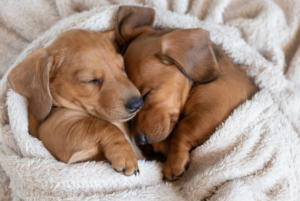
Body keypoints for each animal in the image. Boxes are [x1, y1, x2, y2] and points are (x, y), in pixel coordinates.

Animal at [8, 28, 144, 176]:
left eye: (122, 67)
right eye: (91, 80)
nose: (137, 104)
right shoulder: (55, 131)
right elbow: (103, 125)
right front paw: (124, 153)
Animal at [116, 5, 256, 179]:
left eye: (146, 95)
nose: (140, 141)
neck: (194, 88)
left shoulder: (215, 108)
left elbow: (183, 129)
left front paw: (174, 161)